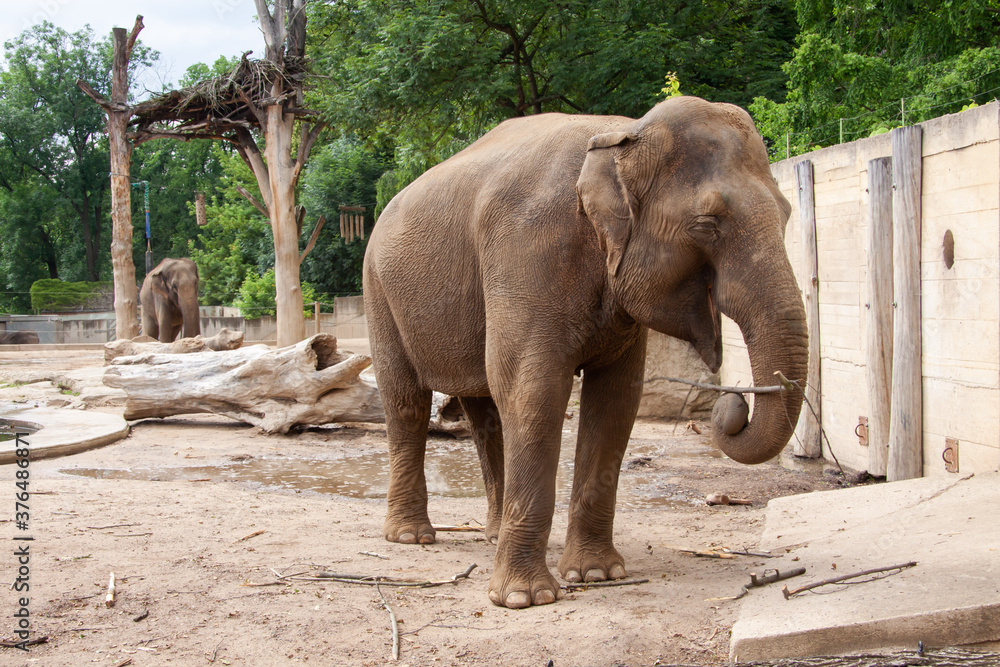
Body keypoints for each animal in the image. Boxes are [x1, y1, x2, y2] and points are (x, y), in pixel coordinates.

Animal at [363, 96, 808, 609]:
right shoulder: (526, 252)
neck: (623, 133)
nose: (733, 404)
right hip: (379, 292)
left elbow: (616, 401)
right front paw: (525, 599)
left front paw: (597, 574)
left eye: (787, 214)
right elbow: (534, 392)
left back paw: (492, 535)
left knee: (484, 413)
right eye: (707, 224)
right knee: (407, 403)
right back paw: (411, 537)